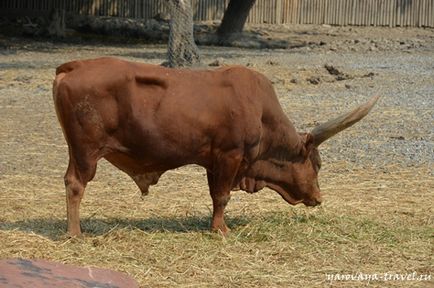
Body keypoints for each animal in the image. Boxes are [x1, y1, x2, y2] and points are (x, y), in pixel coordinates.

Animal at [53, 56, 380, 236]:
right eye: (318, 164)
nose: (318, 197)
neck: (261, 113)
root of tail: (73, 66)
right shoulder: (229, 156)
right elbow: (222, 196)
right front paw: (221, 230)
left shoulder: (212, 161)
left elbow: (214, 196)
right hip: (86, 151)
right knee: (76, 184)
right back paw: (75, 233)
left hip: (76, 151)